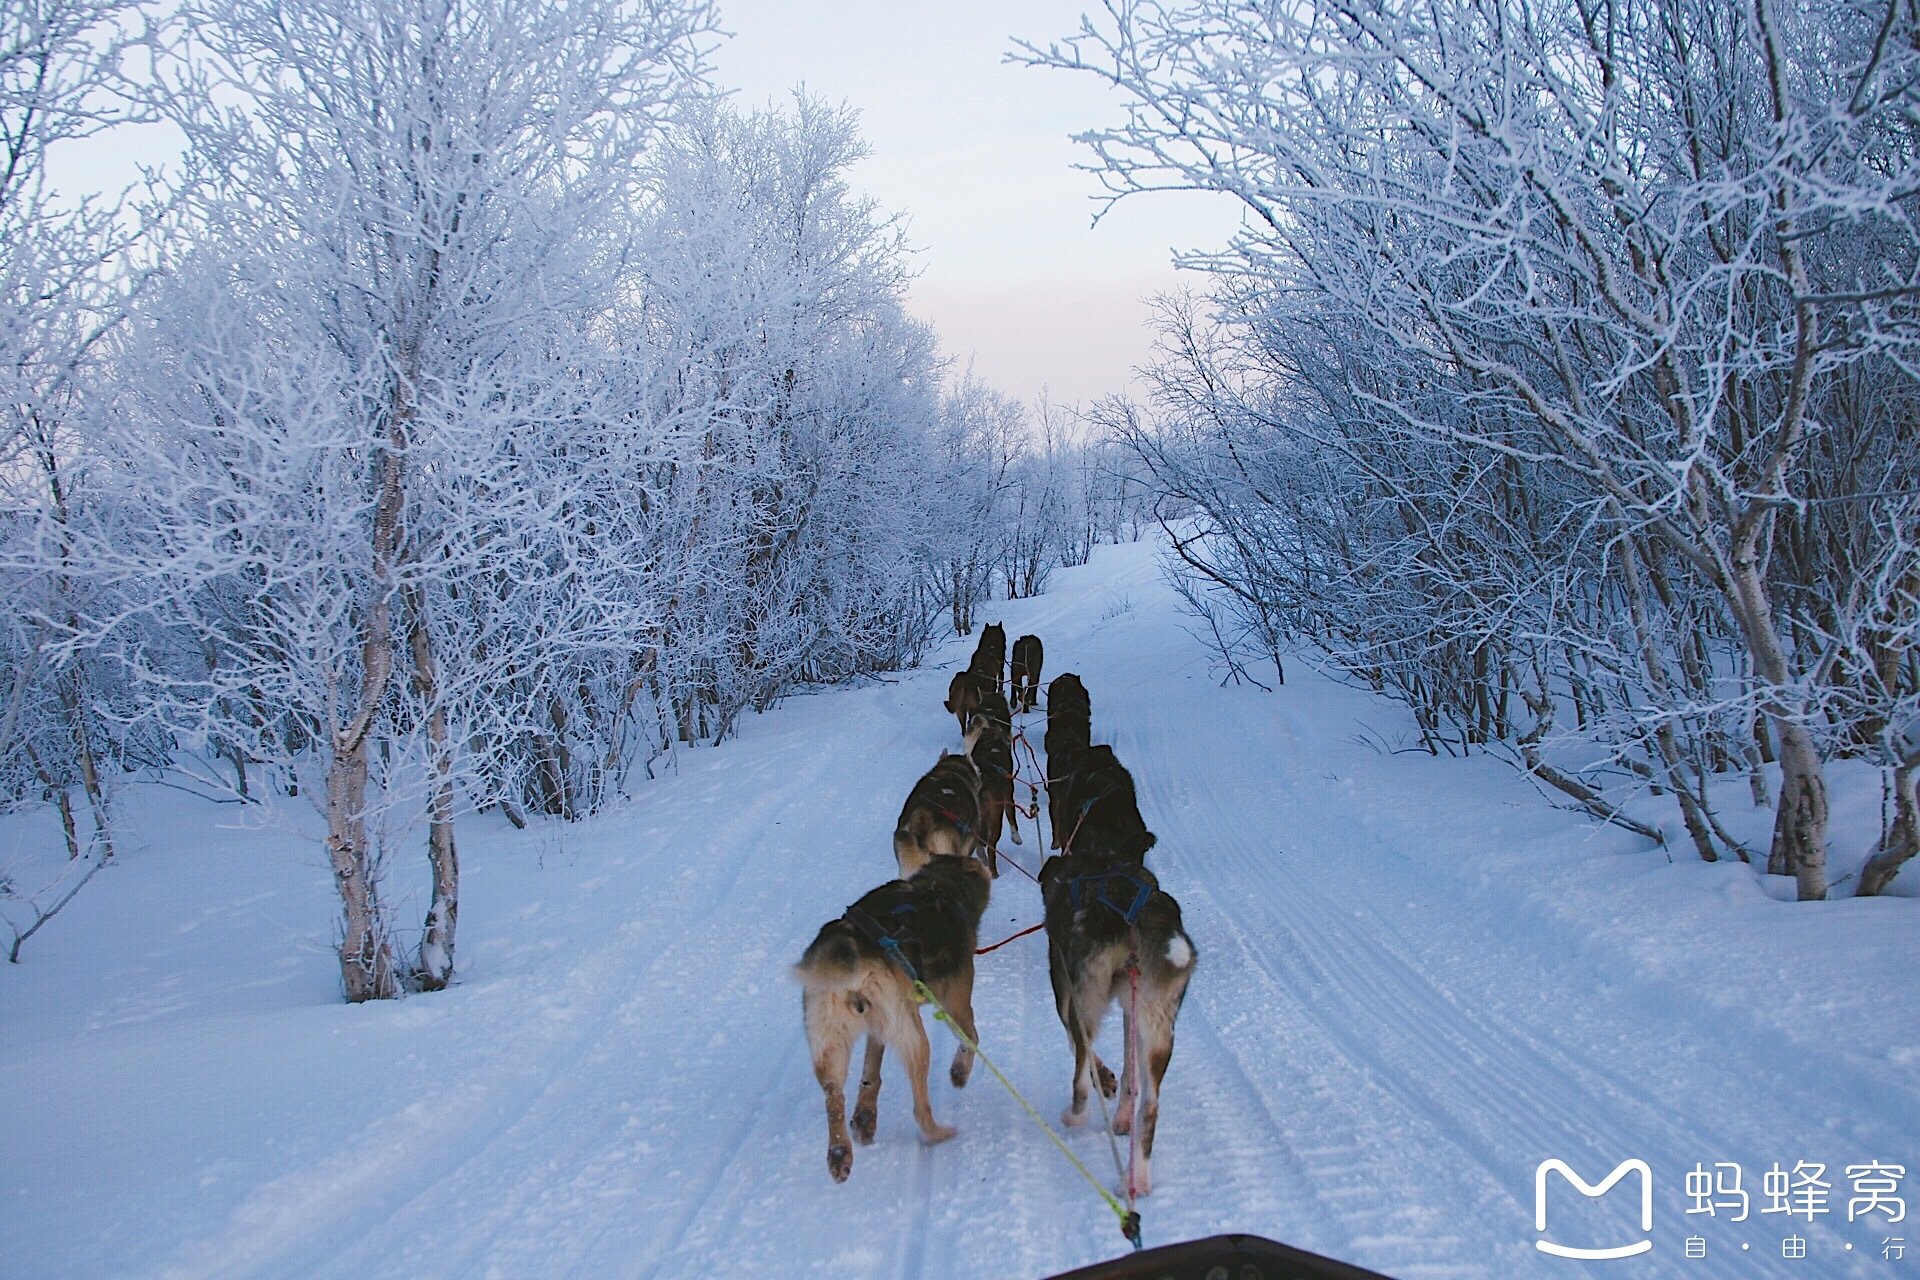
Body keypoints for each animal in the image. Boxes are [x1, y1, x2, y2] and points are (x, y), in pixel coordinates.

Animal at [787, 855, 990, 1189]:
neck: (938, 886)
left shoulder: (877, 1030)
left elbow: (871, 1072)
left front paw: (865, 1115)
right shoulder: (956, 1004)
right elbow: (971, 1038)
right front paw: (959, 1072)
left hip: (831, 1043)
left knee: (834, 1096)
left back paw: (840, 1153)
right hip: (915, 1038)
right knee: (920, 1108)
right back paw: (938, 1133)